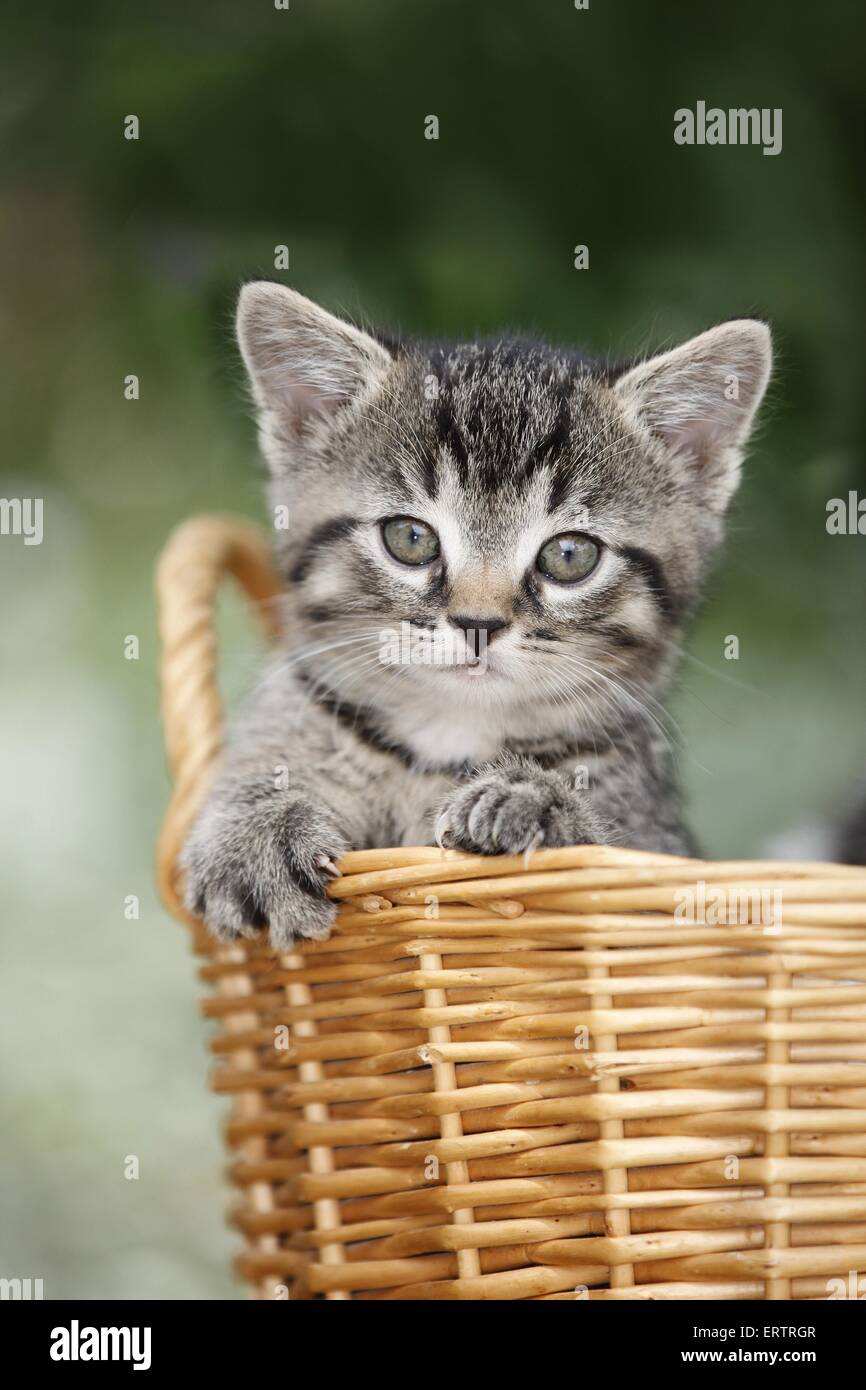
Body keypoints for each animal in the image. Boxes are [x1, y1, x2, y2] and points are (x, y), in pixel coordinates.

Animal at [180, 287, 772, 950]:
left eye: (570, 555)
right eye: (410, 538)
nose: (479, 623)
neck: (450, 731)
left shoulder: (658, 842)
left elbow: (620, 868)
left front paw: (538, 801)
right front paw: (260, 828)